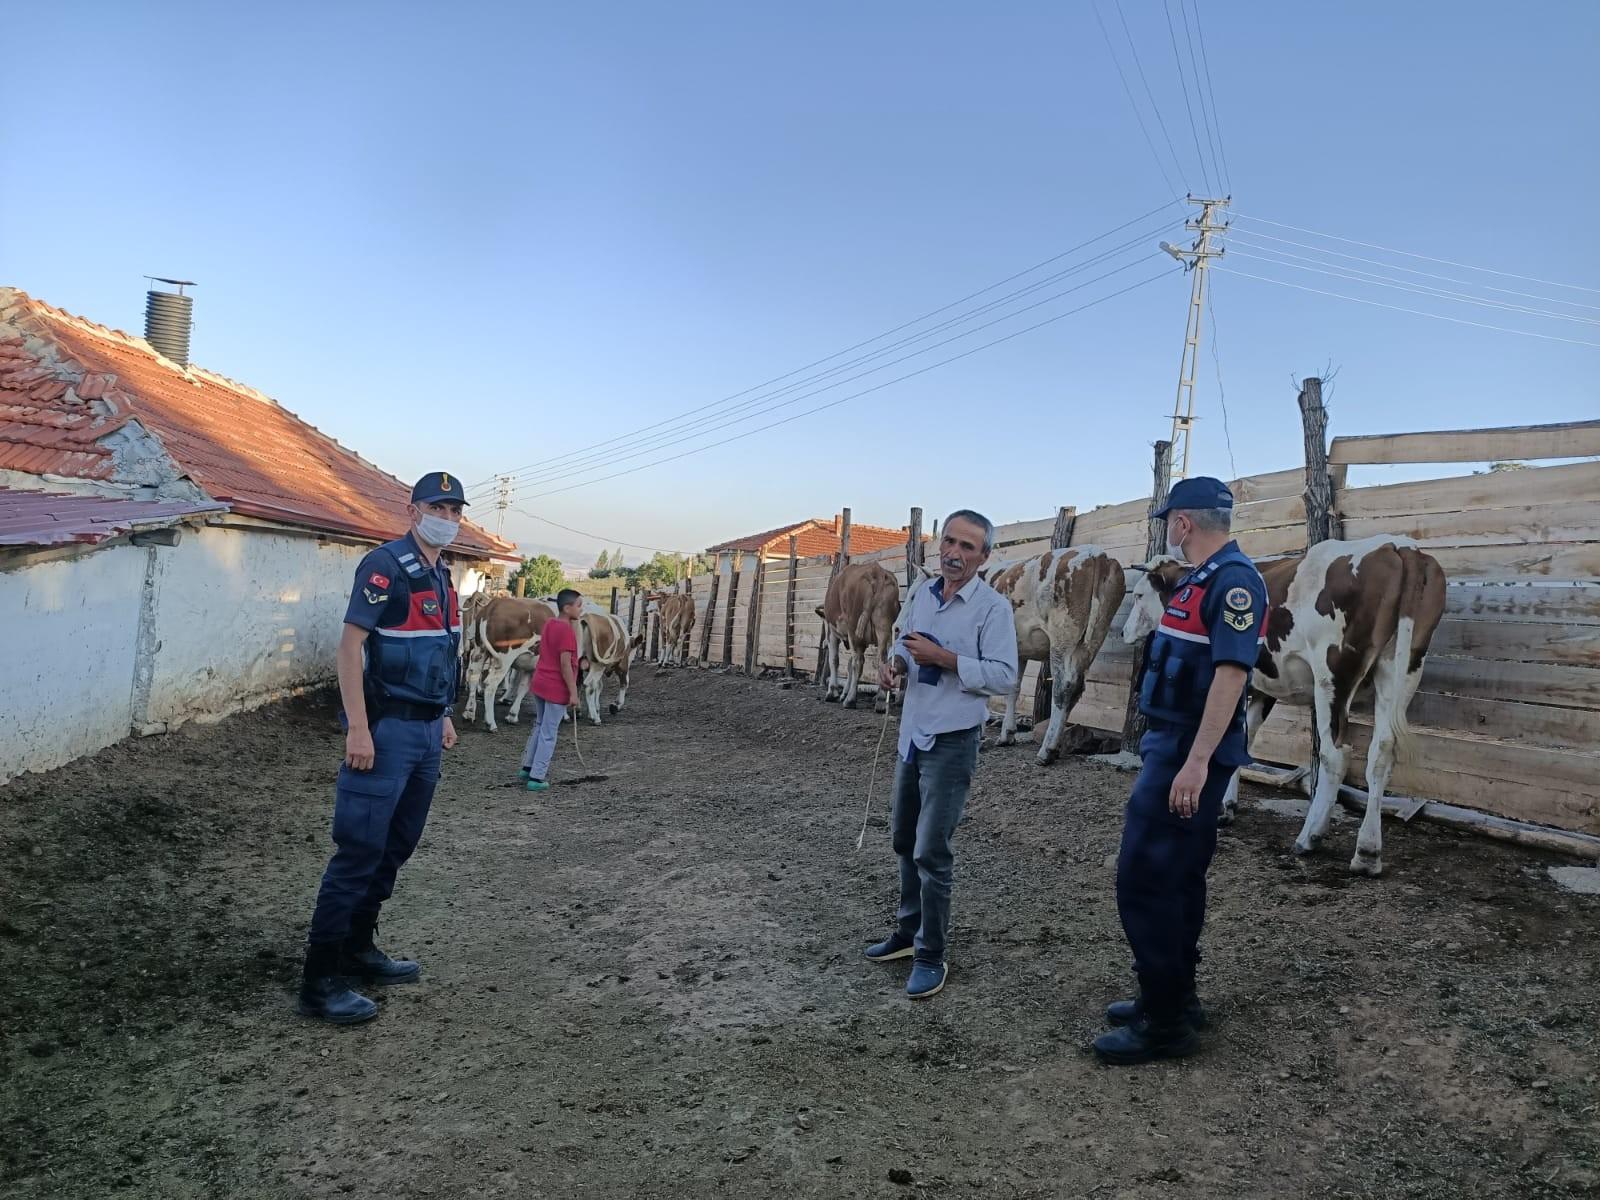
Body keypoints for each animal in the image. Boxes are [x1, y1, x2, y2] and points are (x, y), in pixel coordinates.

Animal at [812, 563, 902, 713]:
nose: (823, 643)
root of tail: (876, 571)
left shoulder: (832, 632)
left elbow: (834, 660)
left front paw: (832, 692)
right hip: (885, 628)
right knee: (884, 660)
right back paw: (881, 700)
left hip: (854, 630)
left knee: (858, 663)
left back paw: (850, 700)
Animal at [1126, 534, 1452, 876]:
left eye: (1138, 595)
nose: (1124, 631)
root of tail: (1399, 545)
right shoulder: (1262, 686)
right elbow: (1242, 742)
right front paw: (1227, 806)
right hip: (1402, 669)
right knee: (1382, 752)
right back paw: (1367, 852)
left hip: (1332, 675)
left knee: (1337, 753)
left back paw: (1310, 836)